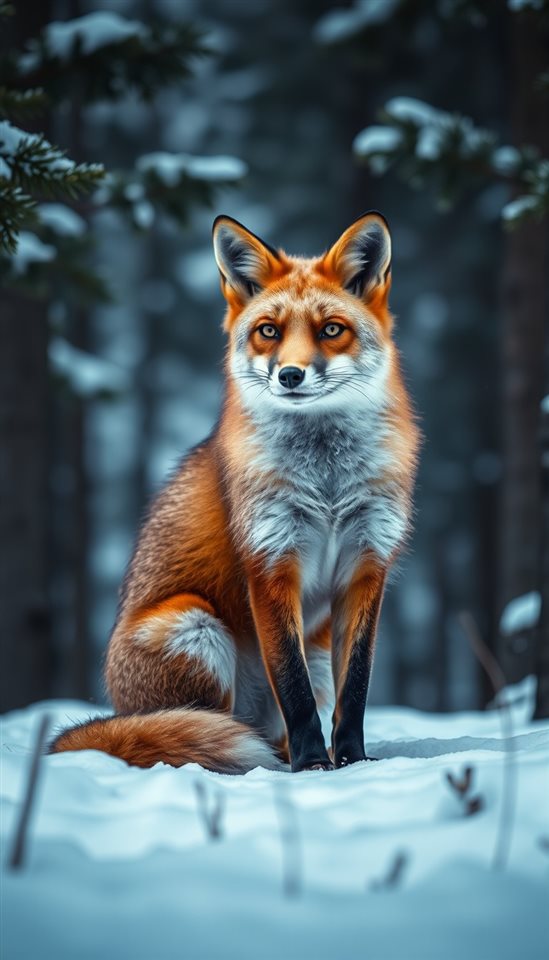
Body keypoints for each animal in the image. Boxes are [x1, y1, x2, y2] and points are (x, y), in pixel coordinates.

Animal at [51, 211, 419, 774]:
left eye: (331, 330)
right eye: (269, 331)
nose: (290, 375)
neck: (327, 484)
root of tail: (117, 707)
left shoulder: (366, 567)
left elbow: (355, 690)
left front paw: (352, 761)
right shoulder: (270, 564)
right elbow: (293, 688)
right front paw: (314, 764)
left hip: (310, 649)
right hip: (195, 626)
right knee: (204, 730)